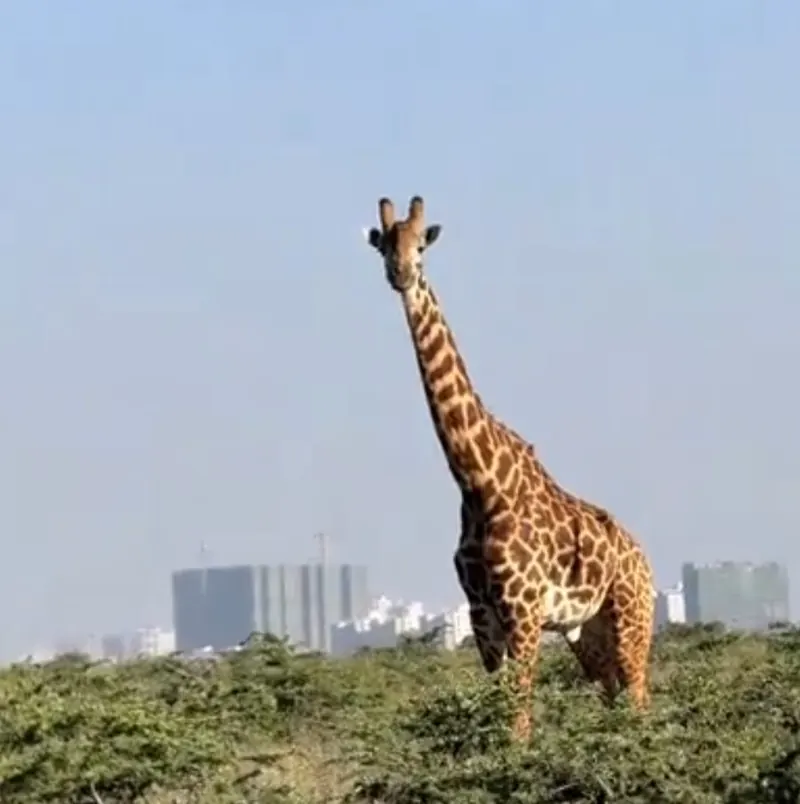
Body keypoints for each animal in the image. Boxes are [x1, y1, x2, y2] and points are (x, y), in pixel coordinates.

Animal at [363, 195, 655, 742]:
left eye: (421, 246)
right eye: (385, 245)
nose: (402, 273)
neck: (478, 481)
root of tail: (645, 559)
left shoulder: (523, 609)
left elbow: (519, 718)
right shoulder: (482, 616)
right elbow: (501, 713)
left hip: (632, 616)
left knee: (640, 697)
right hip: (589, 632)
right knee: (612, 695)